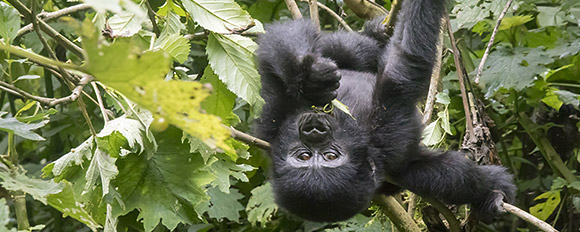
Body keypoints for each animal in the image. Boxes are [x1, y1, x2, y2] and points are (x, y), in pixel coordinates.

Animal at [255, 0, 516, 223]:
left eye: (328, 156)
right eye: (304, 157)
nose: (313, 130)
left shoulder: (269, 126)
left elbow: (281, 44)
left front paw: (311, 76)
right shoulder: (391, 146)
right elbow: (403, 69)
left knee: (343, 48)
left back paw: (374, 32)